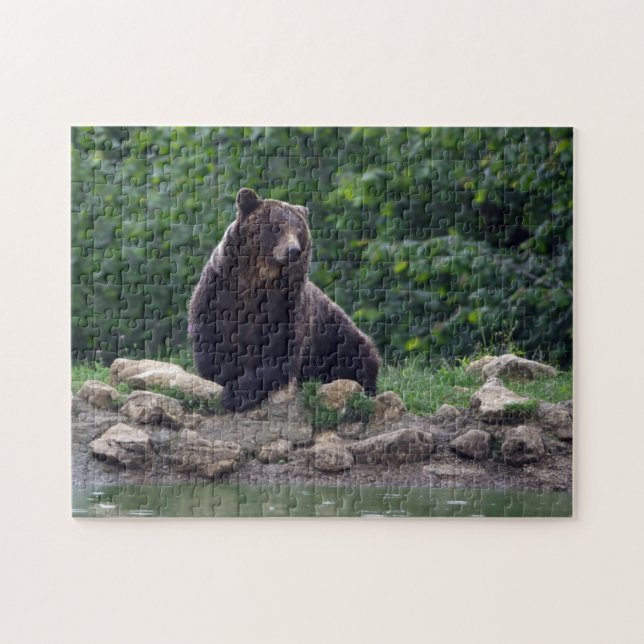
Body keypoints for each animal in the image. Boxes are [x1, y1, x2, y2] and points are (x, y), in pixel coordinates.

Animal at [188, 187, 381, 412]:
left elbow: (279, 352)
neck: (256, 281)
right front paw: (228, 385)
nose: (293, 251)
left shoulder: (286, 306)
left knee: (360, 357)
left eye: (299, 231)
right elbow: (213, 344)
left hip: (337, 337)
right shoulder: (217, 295)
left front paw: (238, 394)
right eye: (276, 228)